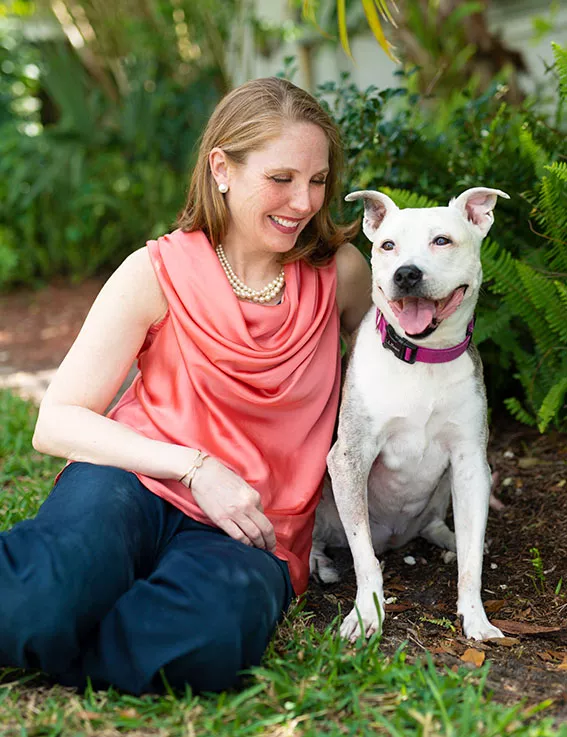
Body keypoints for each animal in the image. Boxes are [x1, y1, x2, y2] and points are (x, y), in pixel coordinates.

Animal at [310, 187, 510, 640]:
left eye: (442, 240)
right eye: (388, 245)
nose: (406, 274)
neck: (422, 357)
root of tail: (394, 539)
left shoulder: (471, 463)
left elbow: (472, 562)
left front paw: (476, 617)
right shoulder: (348, 458)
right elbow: (365, 560)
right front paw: (366, 615)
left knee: (441, 526)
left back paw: (452, 539)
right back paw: (319, 561)